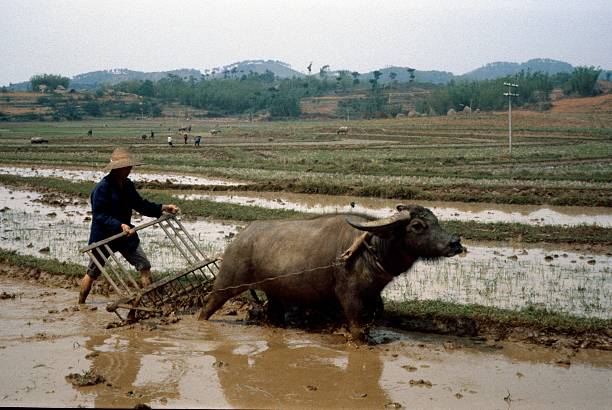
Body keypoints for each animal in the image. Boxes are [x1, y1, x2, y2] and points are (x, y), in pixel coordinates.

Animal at [197, 203, 464, 342]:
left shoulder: (374, 297)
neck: (370, 250)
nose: (455, 243)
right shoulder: (350, 298)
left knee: (275, 314)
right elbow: (357, 328)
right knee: (208, 304)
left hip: (275, 293)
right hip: (227, 282)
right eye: (417, 226)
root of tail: (240, 237)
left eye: (437, 221)